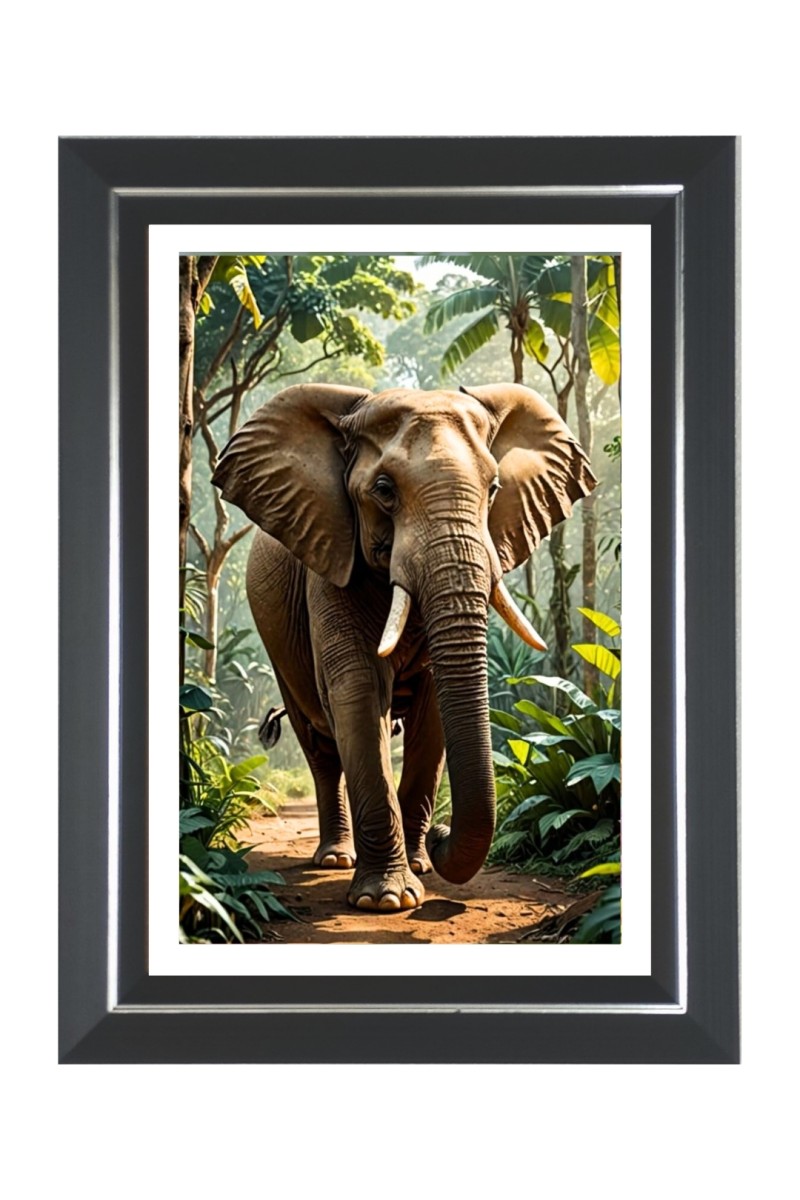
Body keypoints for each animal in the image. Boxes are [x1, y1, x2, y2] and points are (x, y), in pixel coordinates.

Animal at [212, 382, 597, 912]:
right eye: (384, 490)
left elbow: (433, 715)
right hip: (277, 646)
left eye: (494, 489)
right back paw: (335, 859)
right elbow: (357, 691)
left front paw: (420, 867)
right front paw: (385, 900)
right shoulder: (331, 555)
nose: (441, 835)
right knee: (320, 747)